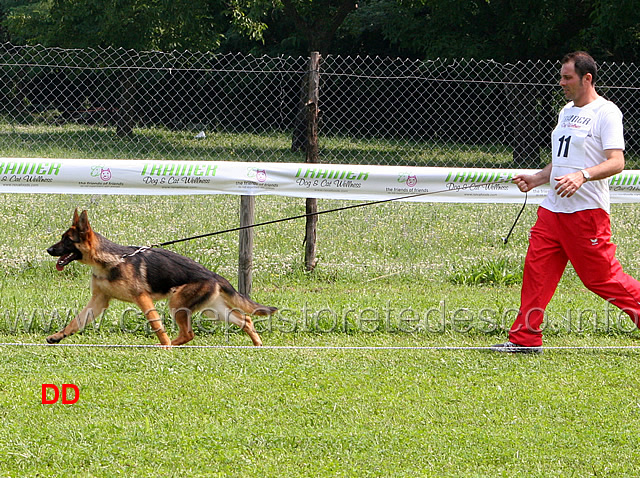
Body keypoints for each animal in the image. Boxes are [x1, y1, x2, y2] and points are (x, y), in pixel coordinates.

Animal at [45, 211, 276, 346]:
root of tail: (214, 275)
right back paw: (257, 345)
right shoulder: (99, 301)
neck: (110, 260)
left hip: (177, 303)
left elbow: (156, 323)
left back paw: (168, 345)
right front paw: (58, 336)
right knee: (245, 319)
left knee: (189, 334)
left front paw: (164, 345)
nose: (48, 250)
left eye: (67, 240)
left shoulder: (142, 298)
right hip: (213, 311)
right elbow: (76, 321)